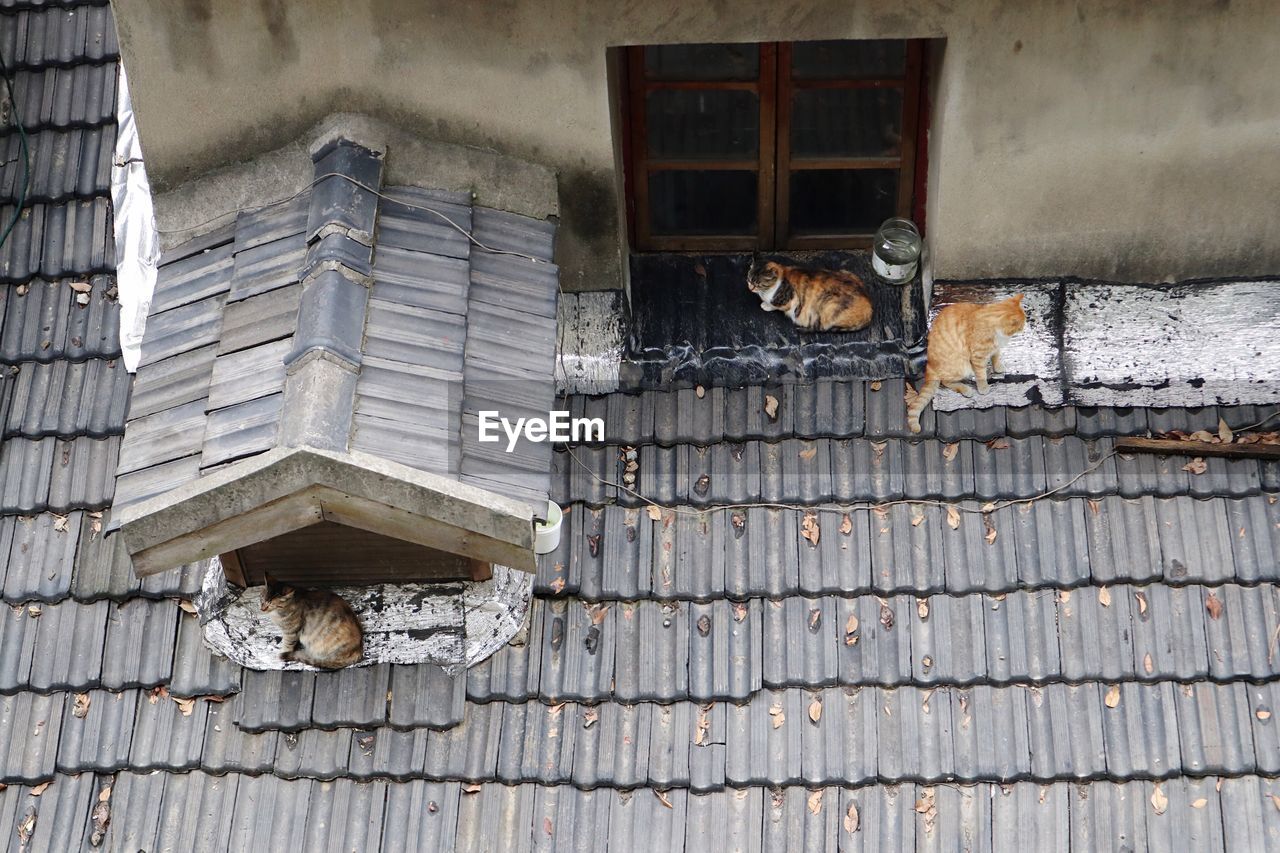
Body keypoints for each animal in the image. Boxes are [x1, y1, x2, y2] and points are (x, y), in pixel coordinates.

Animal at [747, 252, 875, 333]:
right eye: (749, 279)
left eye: (758, 284)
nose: (750, 288)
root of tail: (870, 309)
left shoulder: (792, 301)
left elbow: (776, 305)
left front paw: (766, 305)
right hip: (847, 272)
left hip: (828, 306)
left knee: (822, 327)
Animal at [901, 294, 1029, 432]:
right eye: (1021, 324)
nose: (1024, 328)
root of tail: (930, 364)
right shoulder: (978, 357)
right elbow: (981, 375)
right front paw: (983, 388)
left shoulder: (995, 348)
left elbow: (996, 356)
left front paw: (998, 367)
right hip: (962, 367)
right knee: (945, 382)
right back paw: (966, 389)